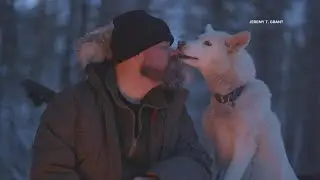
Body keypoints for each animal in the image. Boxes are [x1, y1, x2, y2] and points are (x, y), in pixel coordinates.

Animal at [179, 24, 296, 180]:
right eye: (197, 37)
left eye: (208, 43)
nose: (180, 43)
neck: (232, 96)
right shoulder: (217, 147)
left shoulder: (244, 147)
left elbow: (231, 175)